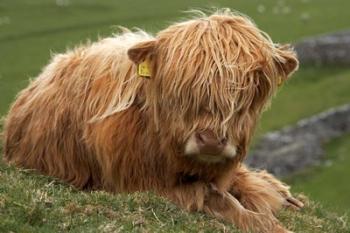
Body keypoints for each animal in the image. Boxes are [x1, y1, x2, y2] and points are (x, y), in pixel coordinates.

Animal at [3, 9, 304, 233]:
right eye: (180, 88)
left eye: (250, 89)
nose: (210, 141)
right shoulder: (141, 184)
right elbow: (217, 198)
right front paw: (268, 223)